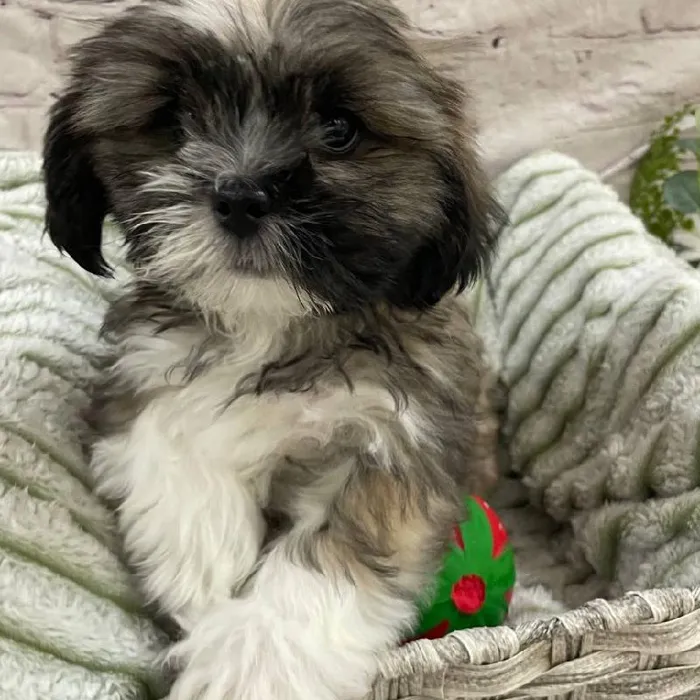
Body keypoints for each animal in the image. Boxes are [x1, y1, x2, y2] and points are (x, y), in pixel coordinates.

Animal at [43, 1, 502, 698]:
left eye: (338, 129)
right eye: (173, 120)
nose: (241, 193)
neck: (274, 325)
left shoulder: (402, 432)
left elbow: (337, 551)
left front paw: (253, 660)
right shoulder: (147, 366)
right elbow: (170, 432)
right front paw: (203, 568)